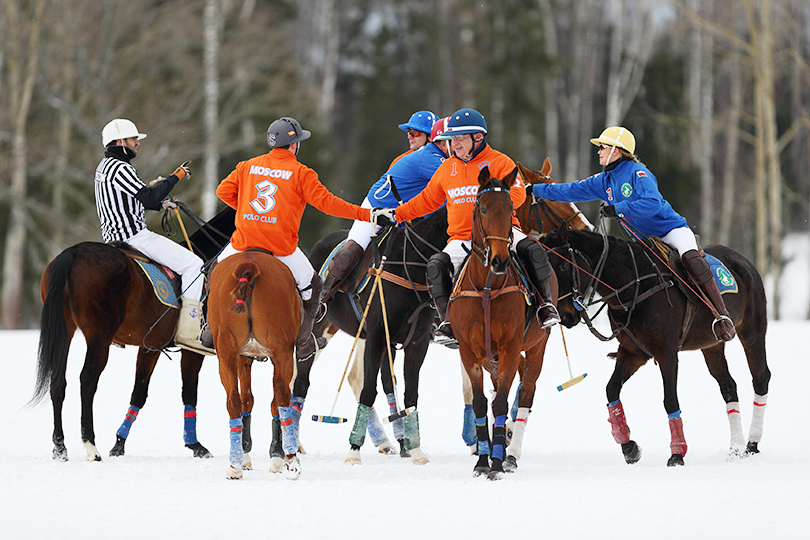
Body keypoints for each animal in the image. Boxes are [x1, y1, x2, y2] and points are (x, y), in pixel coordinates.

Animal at [33, 243, 213, 462]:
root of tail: (72, 252)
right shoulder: (193, 350)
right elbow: (190, 393)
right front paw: (195, 445)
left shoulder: (150, 347)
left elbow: (139, 393)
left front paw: (119, 444)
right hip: (99, 336)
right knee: (87, 380)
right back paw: (91, 447)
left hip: (65, 330)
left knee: (58, 382)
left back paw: (60, 448)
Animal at [205, 251, 300, 478]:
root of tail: (249, 264)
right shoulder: (269, 356)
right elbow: (268, 401)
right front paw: (275, 455)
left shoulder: (242, 356)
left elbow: (246, 400)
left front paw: (244, 454)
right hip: (282, 349)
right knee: (282, 395)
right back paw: (290, 460)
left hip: (226, 353)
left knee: (233, 401)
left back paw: (234, 466)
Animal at [448, 167, 556, 478]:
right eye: (483, 208)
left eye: (509, 209)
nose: (499, 261)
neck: (487, 287)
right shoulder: (470, 351)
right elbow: (481, 402)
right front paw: (482, 461)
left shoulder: (510, 347)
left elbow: (501, 401)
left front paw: (496, 462)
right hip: (491, 356)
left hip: (536, 346)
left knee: (526, 393)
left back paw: (511, 455)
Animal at [540, 226, 768, 466]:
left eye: (563, 265)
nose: (565, 316)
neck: (633, 287)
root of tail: (744, 260)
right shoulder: (632, 352)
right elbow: (611, 389)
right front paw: (629, 447)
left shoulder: (667, 353)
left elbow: (670, 400)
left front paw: (677, 454)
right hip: (712, 345)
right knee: (728, 386)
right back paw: (736, 448)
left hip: (752, 330)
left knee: (761, 377)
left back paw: (752, 444)